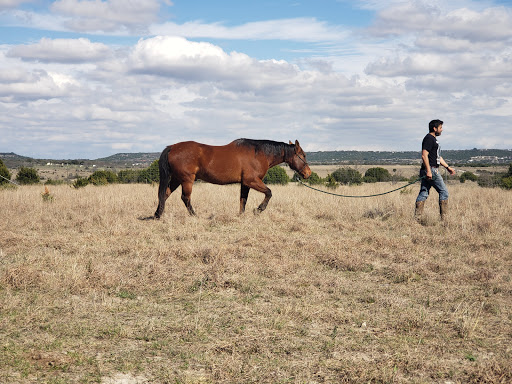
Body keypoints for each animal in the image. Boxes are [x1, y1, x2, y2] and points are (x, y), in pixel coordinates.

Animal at [152, 138, 312, 218]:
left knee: (165, 194)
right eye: (303, 155)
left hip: (176, 179)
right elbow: (269, 192)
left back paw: (158, 214)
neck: (258, 153)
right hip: (186, 180)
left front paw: (241, 215)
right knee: (185, 198)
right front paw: (258, 210)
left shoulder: (245, 183)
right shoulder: (251, 181)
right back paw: (194, 215)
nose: (308, 173)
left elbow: (243, 200)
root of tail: (172, 147)